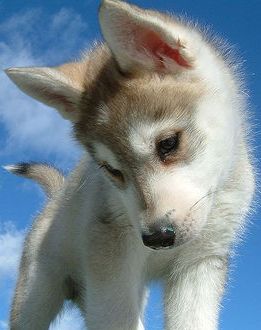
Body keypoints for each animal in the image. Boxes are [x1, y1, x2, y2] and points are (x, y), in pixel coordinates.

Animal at [5, 0, 254, 330]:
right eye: (113, 171)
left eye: (168, 143)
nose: (158, 238)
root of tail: (57, 195)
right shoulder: (111, 252)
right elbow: (117, 315)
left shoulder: (200, 264)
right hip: (36, 296)